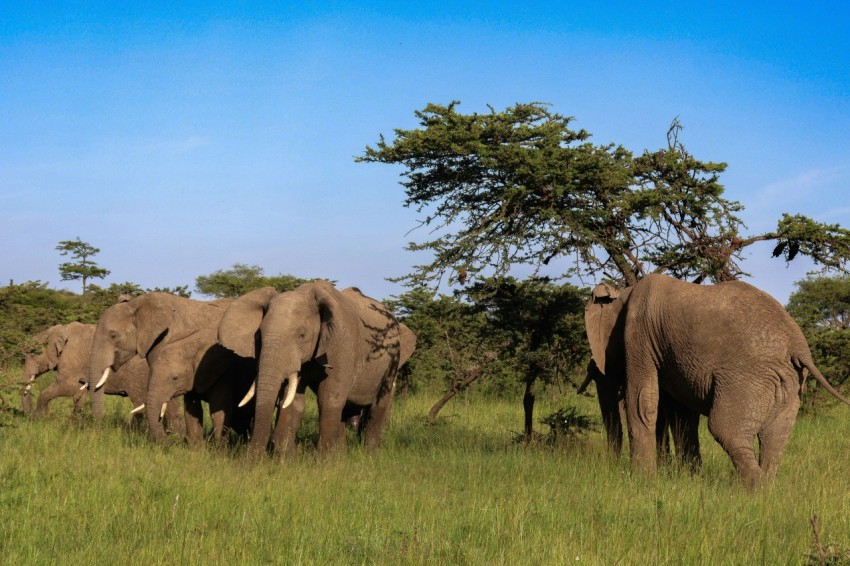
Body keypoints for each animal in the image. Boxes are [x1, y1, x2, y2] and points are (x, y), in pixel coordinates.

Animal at [217, 282, 416, 460]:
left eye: (302, 335)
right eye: (258, 336)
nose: (252, 462)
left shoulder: (342, 345)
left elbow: (328, 398)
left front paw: (323, 463)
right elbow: (294, 401)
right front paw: (288, 460)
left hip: (391, 360)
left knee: (376, 407)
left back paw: (369, 455)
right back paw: (342, 455)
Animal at [584, 272, 848, 486]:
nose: (611, 466)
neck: (624, 293)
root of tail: (798, 346)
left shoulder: (639, 334)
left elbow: (642, 402)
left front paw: (642, 480)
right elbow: (682, 415)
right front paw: (689, 478)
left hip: (748, 377)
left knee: (724, 429)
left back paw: (753, 491)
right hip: (787, 382)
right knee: (775, 437)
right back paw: (768, 488)